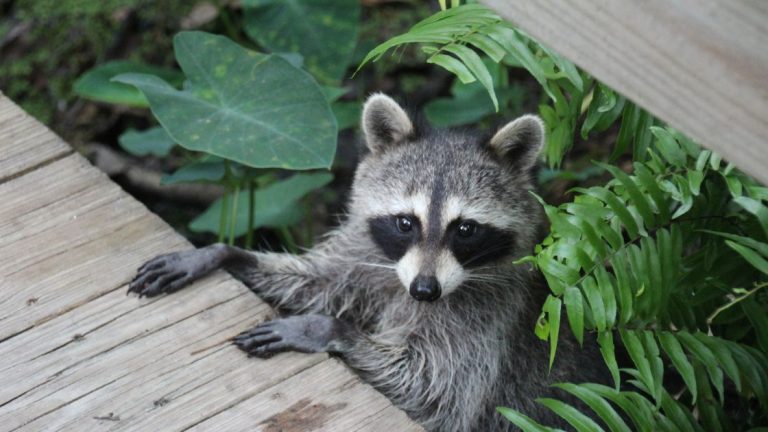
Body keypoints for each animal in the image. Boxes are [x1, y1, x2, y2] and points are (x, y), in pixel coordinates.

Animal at [128, 94, 606, 431]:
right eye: (405, 222)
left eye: (465, 229)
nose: (425, 290)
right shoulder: (369, 257)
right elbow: (319, 282)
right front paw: (223, 252)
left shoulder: (489, 321)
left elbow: (434, 392)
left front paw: (325, 328)